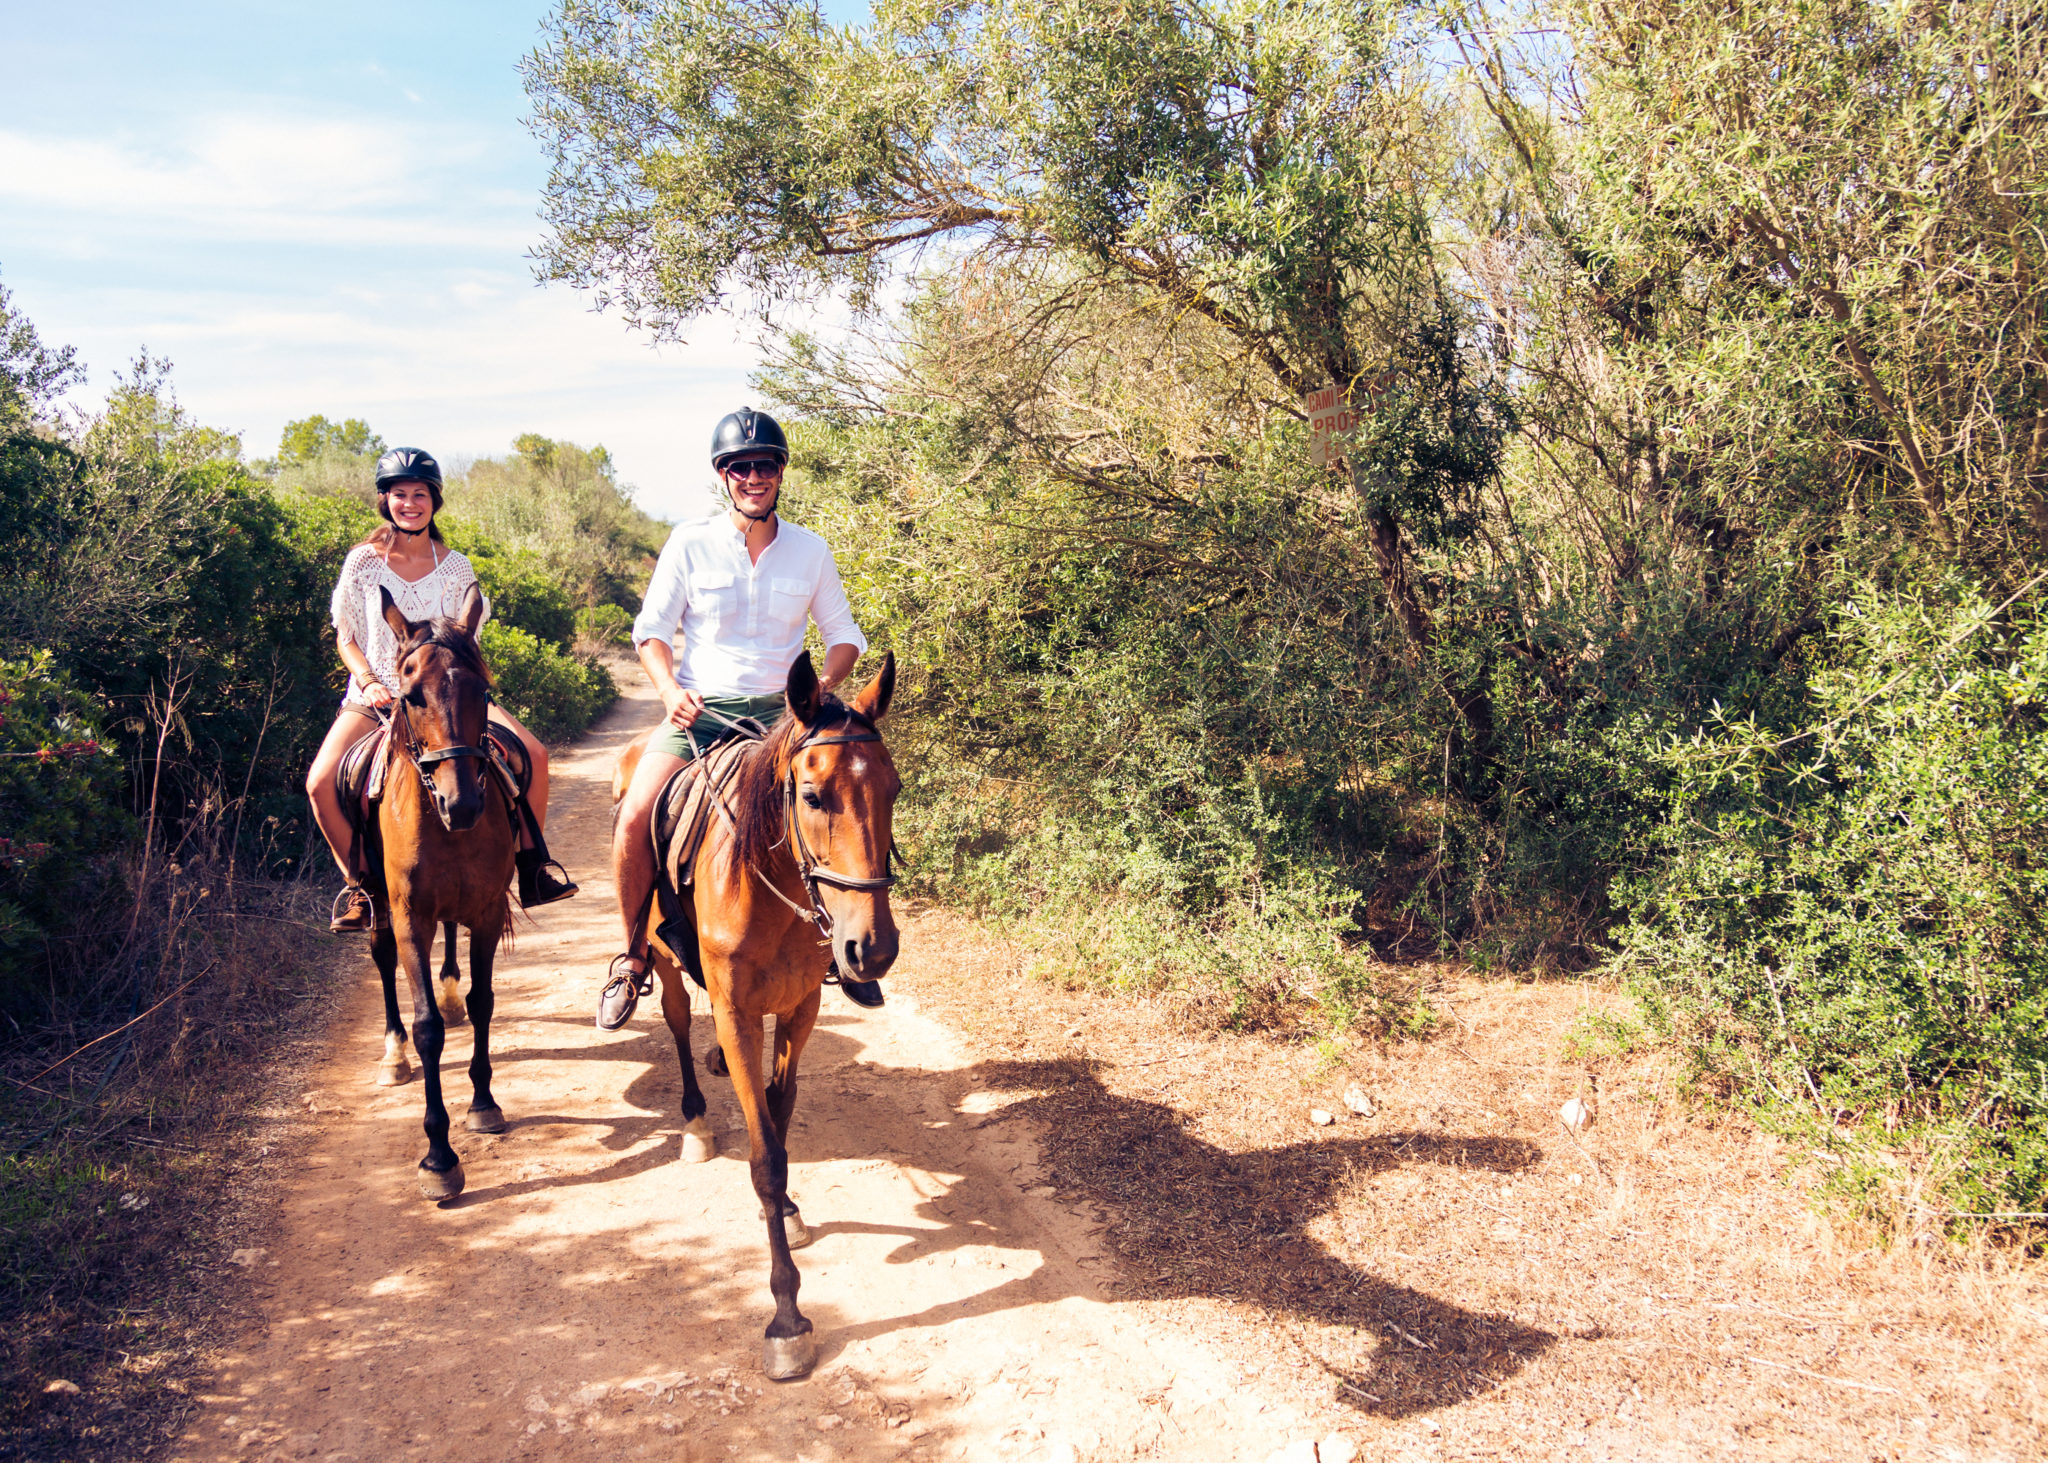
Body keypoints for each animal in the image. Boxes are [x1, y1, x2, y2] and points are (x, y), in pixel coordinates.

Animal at [364, 581, 520, 1196]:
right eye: (410, 696)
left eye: (484, 690)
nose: (464, 805)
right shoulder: (410, 917)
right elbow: (427, 1026)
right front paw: (439, 1156)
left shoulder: (486, 909)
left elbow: (483, 1002)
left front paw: (483, 1103)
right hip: (377, 906)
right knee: (383, 959)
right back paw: (393, 1055)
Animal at [622, 651, 897, 1376]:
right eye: (813, 796)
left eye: (894, 790)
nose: (872, 948)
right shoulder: (739, 1012)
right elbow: (765, 1155)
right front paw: (787, 1318)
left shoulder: (800, 1007)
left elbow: (777, 1113)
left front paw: (792, 1210)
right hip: (663, 960)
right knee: (677, 1022)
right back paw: (693, 1119)